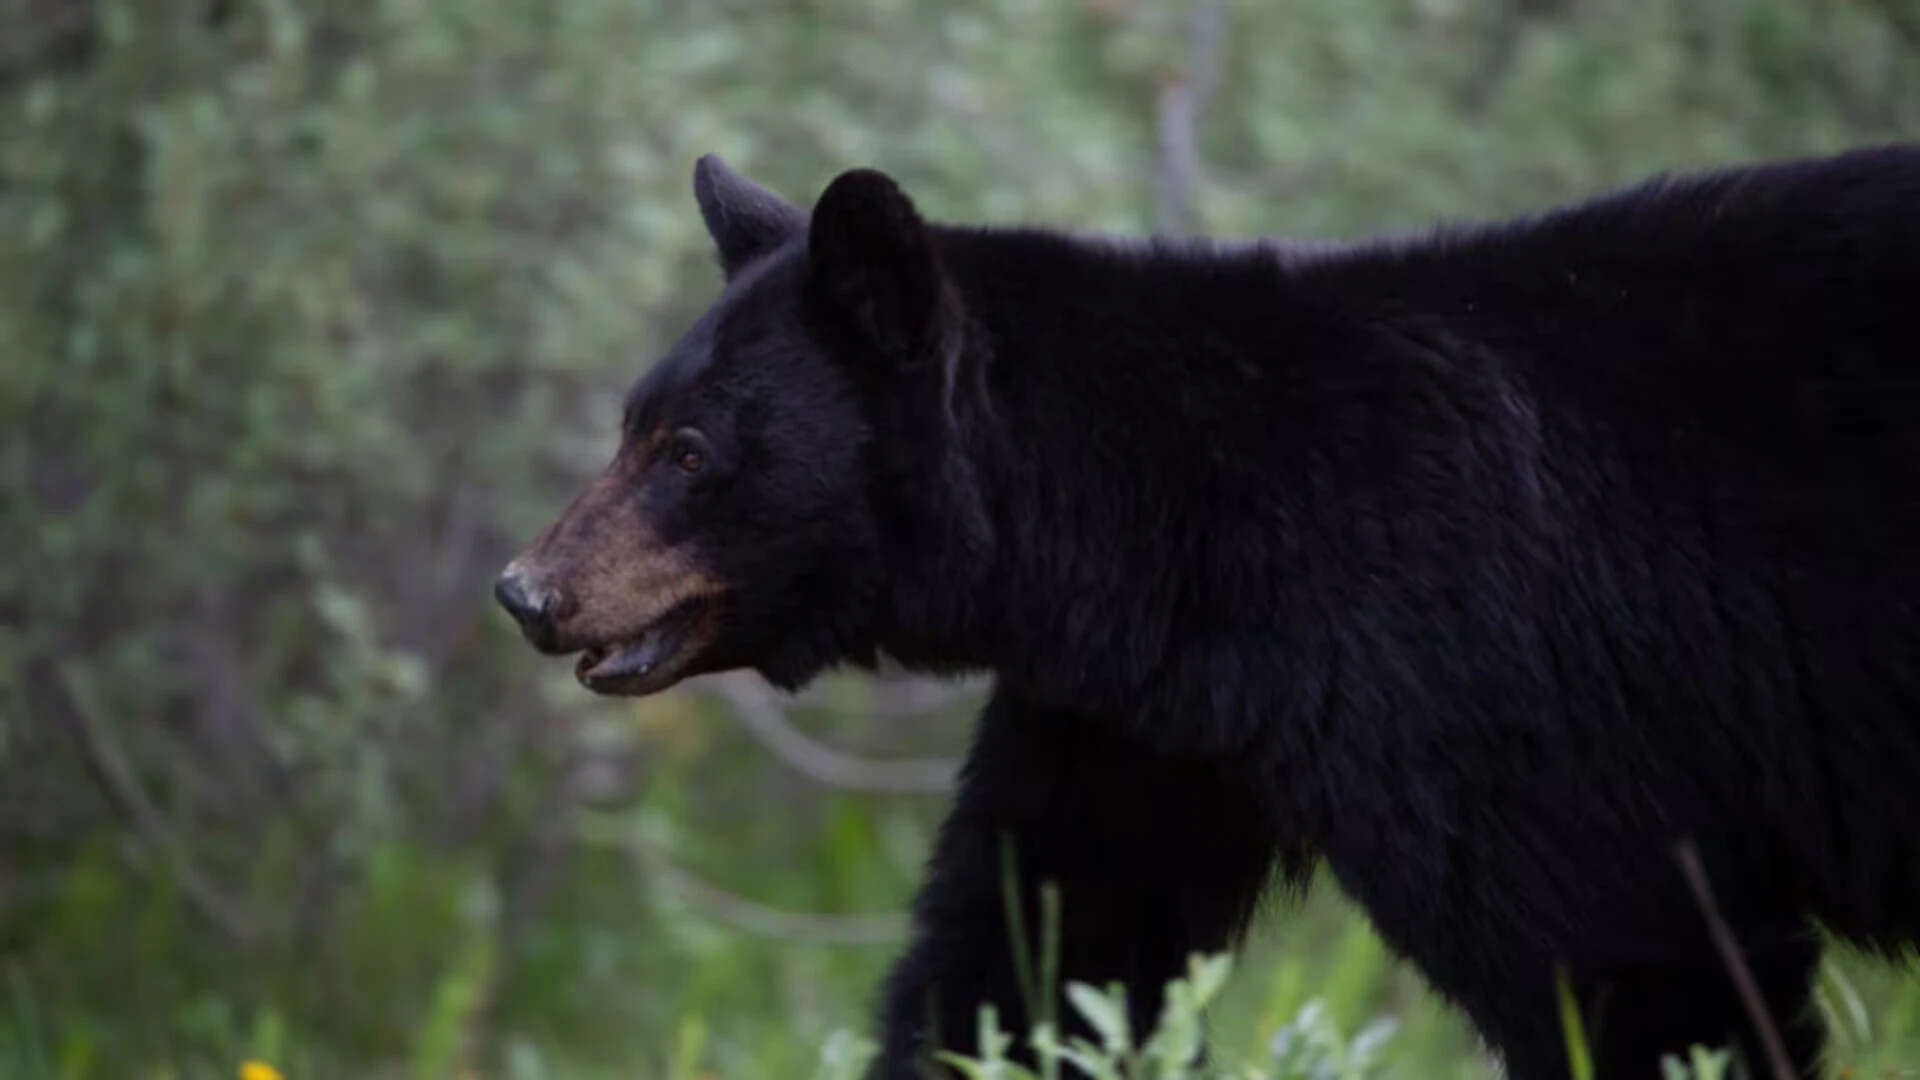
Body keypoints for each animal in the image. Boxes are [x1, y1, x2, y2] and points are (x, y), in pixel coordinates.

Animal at [495, 146, 1920, 1078]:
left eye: (689, 450)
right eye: (631, 423)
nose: (526, 591)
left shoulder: (1485, 680)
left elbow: (1629, 959)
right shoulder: (1140, 720)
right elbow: (1036, 949)